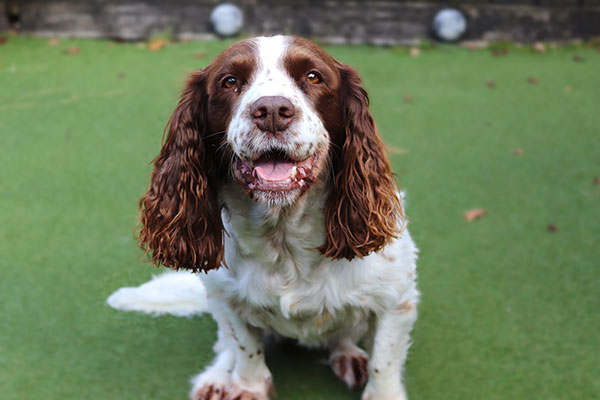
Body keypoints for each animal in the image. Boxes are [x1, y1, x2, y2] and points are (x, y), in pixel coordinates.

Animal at [137, 36, 418, 398]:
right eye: (229, 81)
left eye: (313, 76)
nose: (271, 111)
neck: (284, 237)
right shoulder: (227, 297)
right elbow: (244, 346)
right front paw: (248, 386)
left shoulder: (397, 300)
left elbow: (383, 361)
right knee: (226, 344)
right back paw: (217, 378)